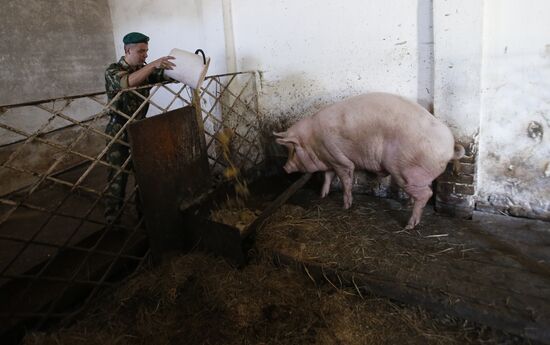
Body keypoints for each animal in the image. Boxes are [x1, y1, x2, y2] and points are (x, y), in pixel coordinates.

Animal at [276, 92, 466, 230]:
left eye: (293, 150)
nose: (284, 168)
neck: (314, 142)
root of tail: (450, 148)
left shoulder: (340, 160)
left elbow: (345, 181)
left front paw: (346, 207)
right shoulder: (330, 158)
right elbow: (327, 176)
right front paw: (322, 195)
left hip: (406, 172)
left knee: (426, 193)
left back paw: (409, 226)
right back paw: (407, 204)